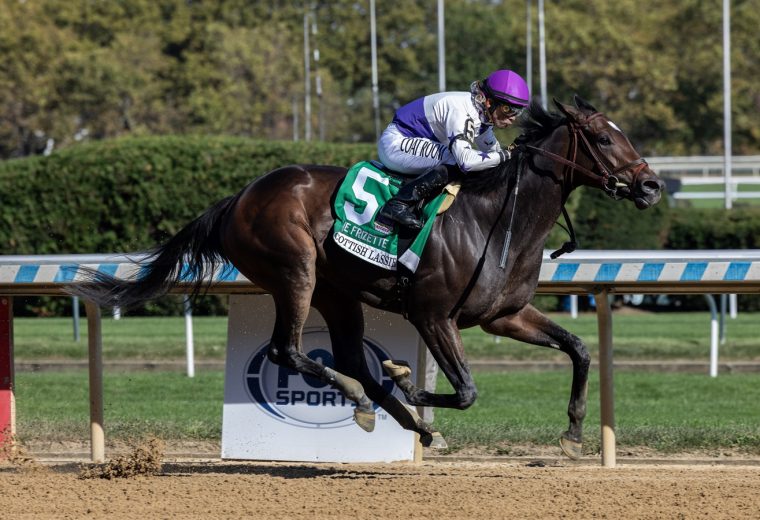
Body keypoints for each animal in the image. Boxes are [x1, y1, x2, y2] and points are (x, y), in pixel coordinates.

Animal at [74, 95, 664, 458]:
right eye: (603, 140)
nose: (652, 185)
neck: (497, 219)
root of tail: (238, 198)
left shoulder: (505, 316)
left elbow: (579, 350)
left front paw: (573, 433)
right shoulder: (433, 315)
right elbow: (464, 390)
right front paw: (407, 377)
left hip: (338, 293)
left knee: (350, 357)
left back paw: (401, 419)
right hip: (295, 273)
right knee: (290, 351)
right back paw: (372, 400)